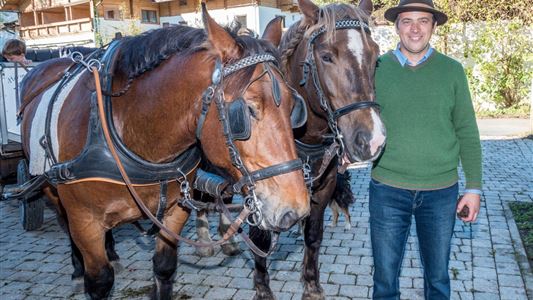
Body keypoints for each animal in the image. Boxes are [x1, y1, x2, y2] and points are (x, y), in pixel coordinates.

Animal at [19, 5, 308, 298]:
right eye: (248, 110)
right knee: (64, 223)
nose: (296, 210)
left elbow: (164, 267)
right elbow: (100, 281)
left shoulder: (175, 212)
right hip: (49, 188)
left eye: (294, 106)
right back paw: (78, 270)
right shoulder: (85, 222)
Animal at [247, 0, 384, 300]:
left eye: (376, 55)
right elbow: (259, 238)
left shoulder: (325, 185)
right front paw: (262, 287)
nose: (372, 139)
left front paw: (311, 285)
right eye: (326, 56)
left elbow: (313, 234)